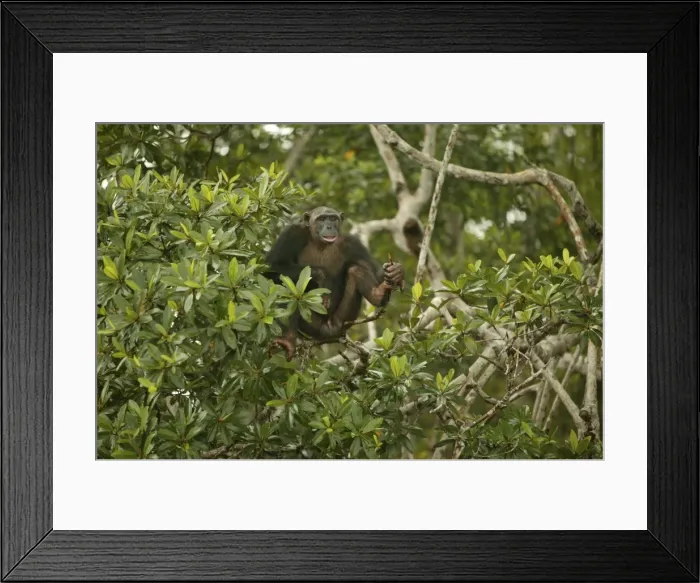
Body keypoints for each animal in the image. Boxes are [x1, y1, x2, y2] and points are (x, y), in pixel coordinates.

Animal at [263, 206, 405, 360]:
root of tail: (327, 332)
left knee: (355, 270)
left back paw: (379, 293)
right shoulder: (291, 234)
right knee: (285, 286)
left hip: (343, 319)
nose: (329, 226)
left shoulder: (353, 244)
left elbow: (371, 269)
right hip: (310, 325)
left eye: (332, 218)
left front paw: (396, 272)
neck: (320, 243)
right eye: (321, 219)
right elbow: (272, 266)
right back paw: (287, 340)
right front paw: (322, 276)